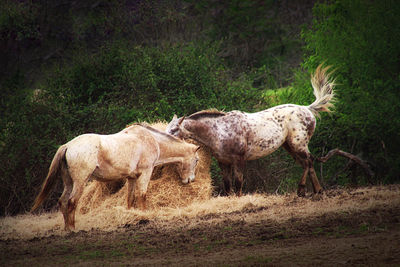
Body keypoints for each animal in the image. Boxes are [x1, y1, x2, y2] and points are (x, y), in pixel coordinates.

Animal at [30, 123, 199, 230]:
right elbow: (142, 195)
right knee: (72, 202)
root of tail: (68, 146)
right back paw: (72, 228)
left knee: (63, 201)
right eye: (197, 160)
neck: (151, 140)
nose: (190, 180)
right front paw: (145, 216)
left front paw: (130, 216)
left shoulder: (132, 178)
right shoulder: (145, 173)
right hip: (80, 182)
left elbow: (130, 199)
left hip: (69, 182)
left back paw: (66, 228)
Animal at [166, 65, 334, 198]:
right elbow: (227, 185)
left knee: (308, 162)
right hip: (289, 146)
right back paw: (317, 191)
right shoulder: (223, 162)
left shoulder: (239, 160)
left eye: (174, 129)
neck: (220, 130)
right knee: (307, 163)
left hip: (298, 144)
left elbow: (238, 182)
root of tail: (308, 109)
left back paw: (302, 190)